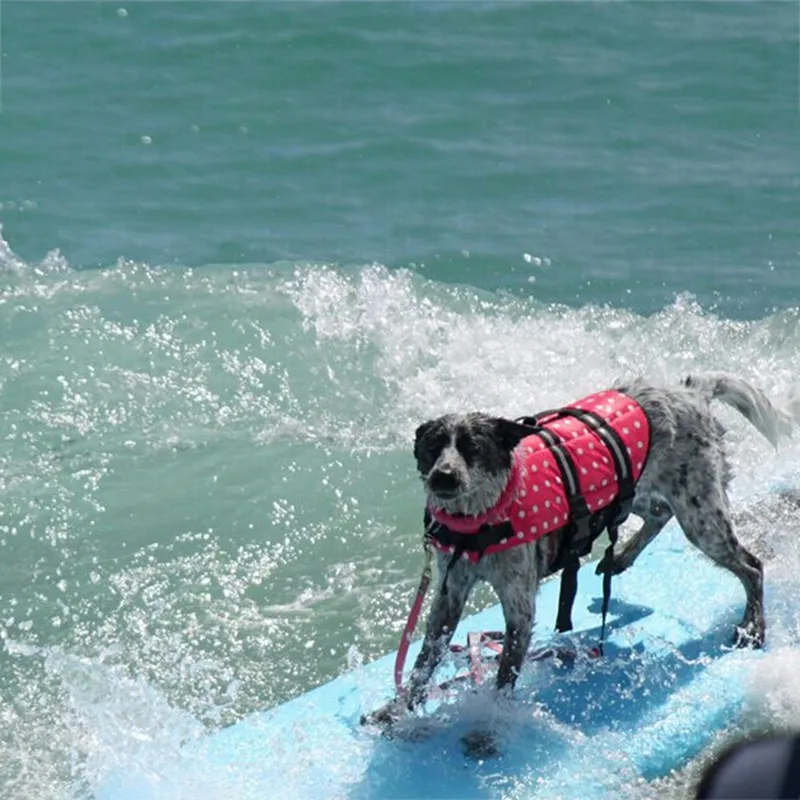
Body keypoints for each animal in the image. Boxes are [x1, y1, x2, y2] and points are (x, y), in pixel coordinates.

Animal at [368, 372, 792, 728]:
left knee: (752, 566)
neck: (481, 522)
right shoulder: (449, 594)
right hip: (632, 490)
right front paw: (397, 709)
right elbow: (424, 660)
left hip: (701, 517)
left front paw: (488, 727)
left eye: (473, 447)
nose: (443, 477)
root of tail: (689, 390)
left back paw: (753, 625)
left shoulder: (520, 606)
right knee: (659, 513)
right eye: (433, 447)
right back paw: (620, 558)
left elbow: (504, 676)